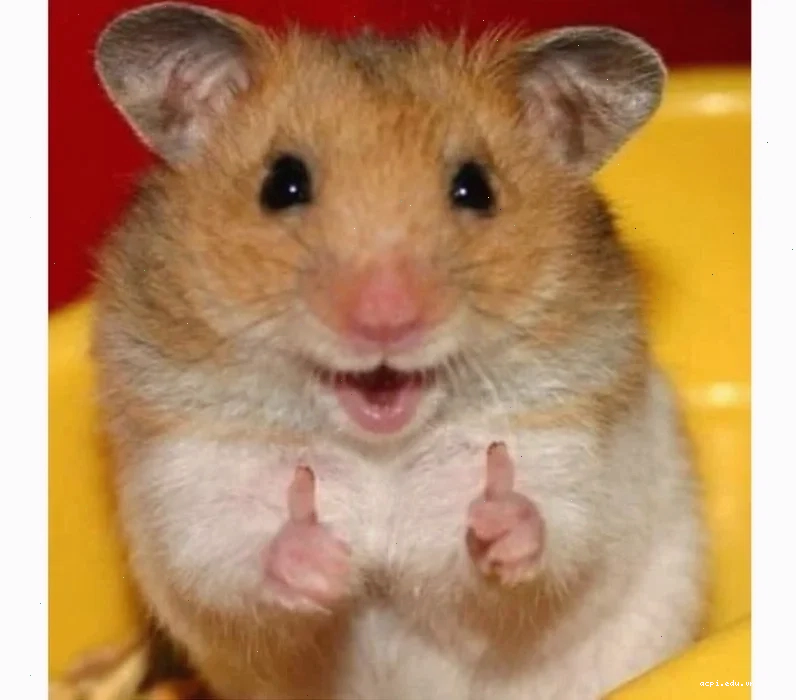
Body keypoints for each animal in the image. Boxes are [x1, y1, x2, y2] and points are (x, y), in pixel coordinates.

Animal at [91, 3, 706, 699]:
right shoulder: (192, 481)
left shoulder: (571, 457)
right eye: (282, 184)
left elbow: (550, 539)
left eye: (476, 188)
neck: (378, 450)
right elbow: (232, 558)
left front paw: (496, 516)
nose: (386, 320)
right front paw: (324, 559)